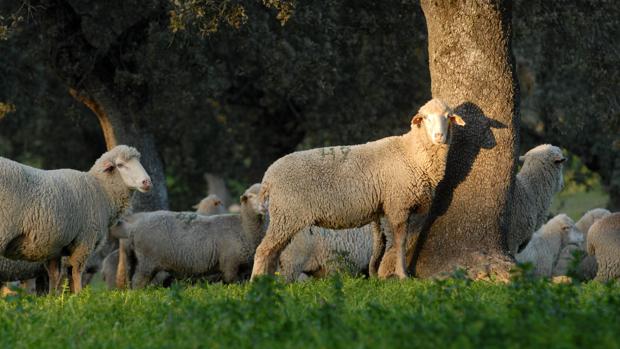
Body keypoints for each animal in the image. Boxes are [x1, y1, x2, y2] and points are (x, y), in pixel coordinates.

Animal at [0, 145, 153, 294]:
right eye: (120, 165)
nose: (147, 182)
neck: (101, 191)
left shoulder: (53, 247)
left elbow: (54, 275)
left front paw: (53, 299)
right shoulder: (85, 240)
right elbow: (76, 272)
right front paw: (79, 297)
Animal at [112, 184, 266, 286]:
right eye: (250, 197)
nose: (263, 207)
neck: (244, 228)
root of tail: (134, 228)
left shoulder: (244, 269)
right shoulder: (230, 264)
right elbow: (232, 283)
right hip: (147, 262)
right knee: (137, 282)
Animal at [249, 98, 462, 280]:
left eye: (448, 116)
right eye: (425, 118)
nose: (439, 136)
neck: (412, 153)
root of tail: (269, 176)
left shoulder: (388, 208)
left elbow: (388, 244)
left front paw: (383, 275)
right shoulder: (398, 205)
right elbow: (400, 242)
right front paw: (402, 275)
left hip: (286, 217)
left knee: (274, 252)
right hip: (287, 214)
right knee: (263, 250)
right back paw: (256, 283)